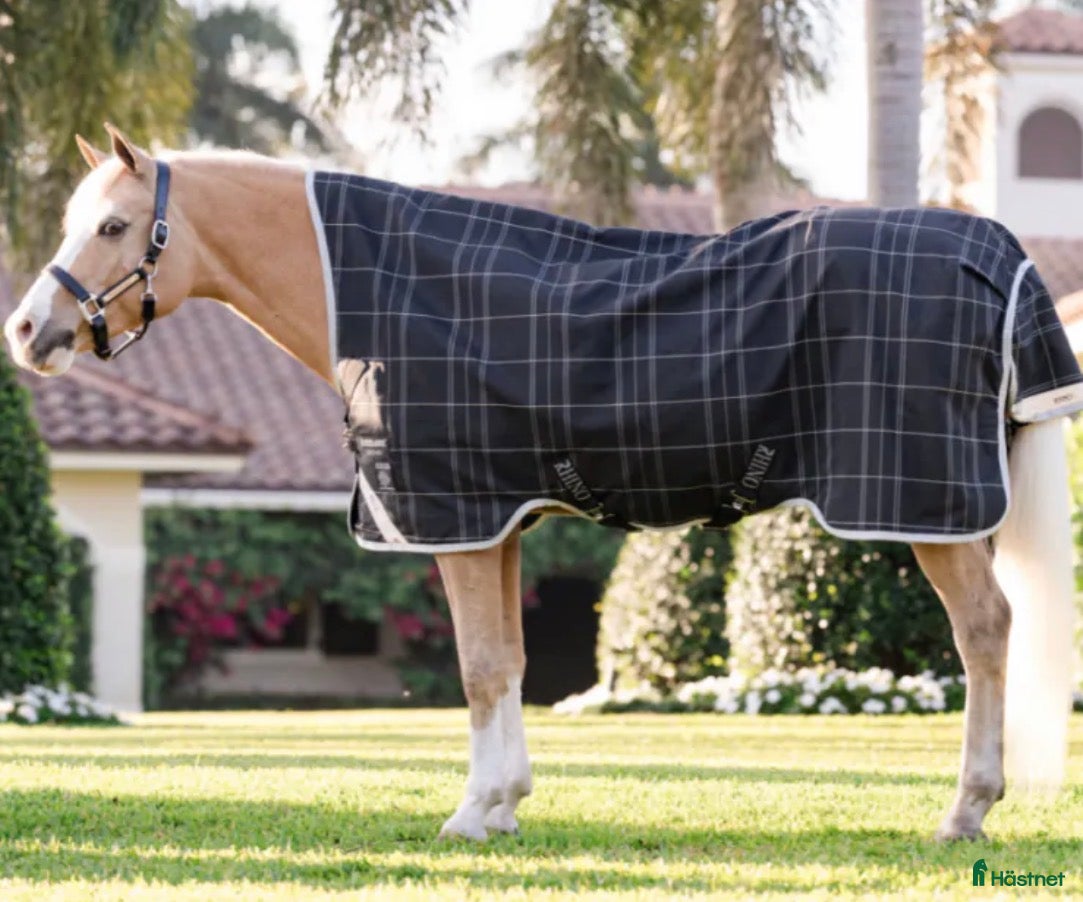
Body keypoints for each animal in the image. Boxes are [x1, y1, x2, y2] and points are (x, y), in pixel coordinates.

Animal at [4, 125, 1078, 843]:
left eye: (113, 225)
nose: (26, 331)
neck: (382, 290)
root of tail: (997, 254)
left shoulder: (454, 518)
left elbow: (479, 666)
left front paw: (472, 813)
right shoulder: (502, 522)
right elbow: (510, 661)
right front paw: (506, 804)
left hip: (929, 507)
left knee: (983, 630)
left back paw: (965, 811)